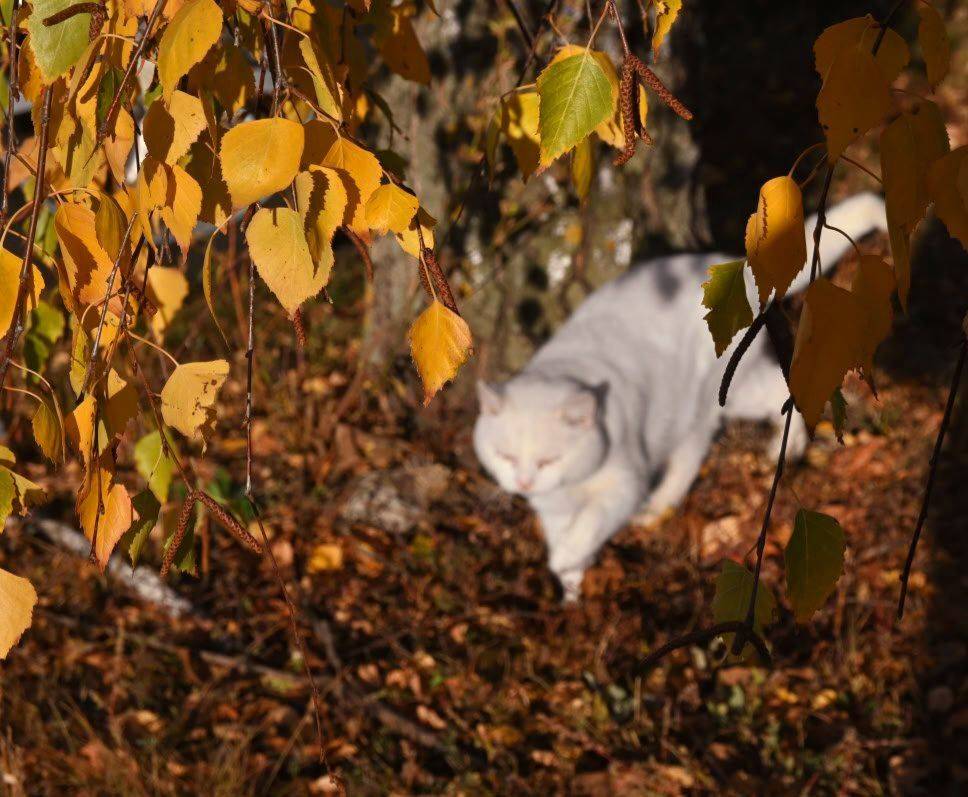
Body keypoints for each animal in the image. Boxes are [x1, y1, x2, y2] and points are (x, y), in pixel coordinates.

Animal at [472, 194, 888, 596]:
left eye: (548, 460)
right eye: (505, 456)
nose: (524, 483)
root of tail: (735, 266)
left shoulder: (623, 483)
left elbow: (590, 523)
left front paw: (566, 562)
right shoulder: (553, 510)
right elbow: (567, 541)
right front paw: (571, 590)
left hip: (726, 390)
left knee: (772, 400)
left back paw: (783, 450)